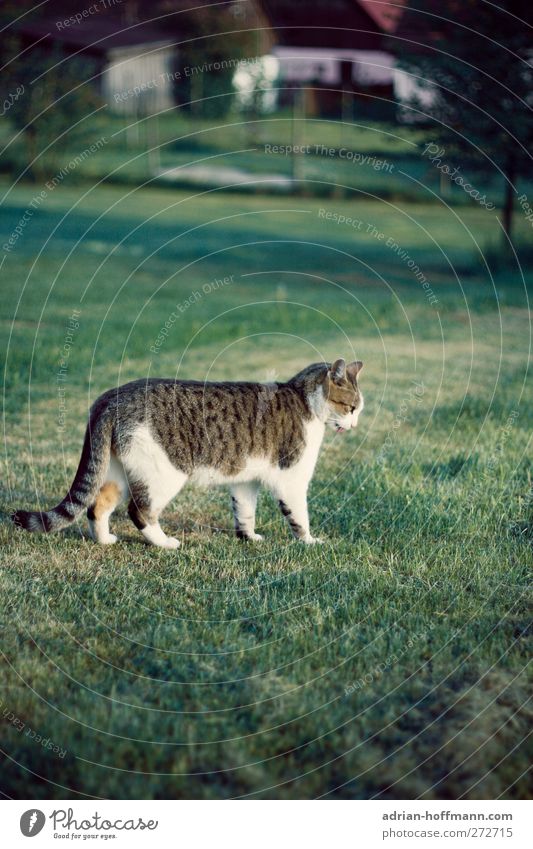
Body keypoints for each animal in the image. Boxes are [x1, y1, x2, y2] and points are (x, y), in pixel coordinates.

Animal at [13, 358, 362, 548]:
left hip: (116, 471)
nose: (356, 423)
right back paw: (164, 543)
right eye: (352, 407)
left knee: (96, 506)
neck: (303, 400)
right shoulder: (291, 478)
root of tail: (111, 398)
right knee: (138, 512)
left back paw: (105, 539)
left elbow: (244, 511)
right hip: (163, 474)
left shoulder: (245, 480)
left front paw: (248, 537)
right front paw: (309, 541)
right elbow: (299, 515)